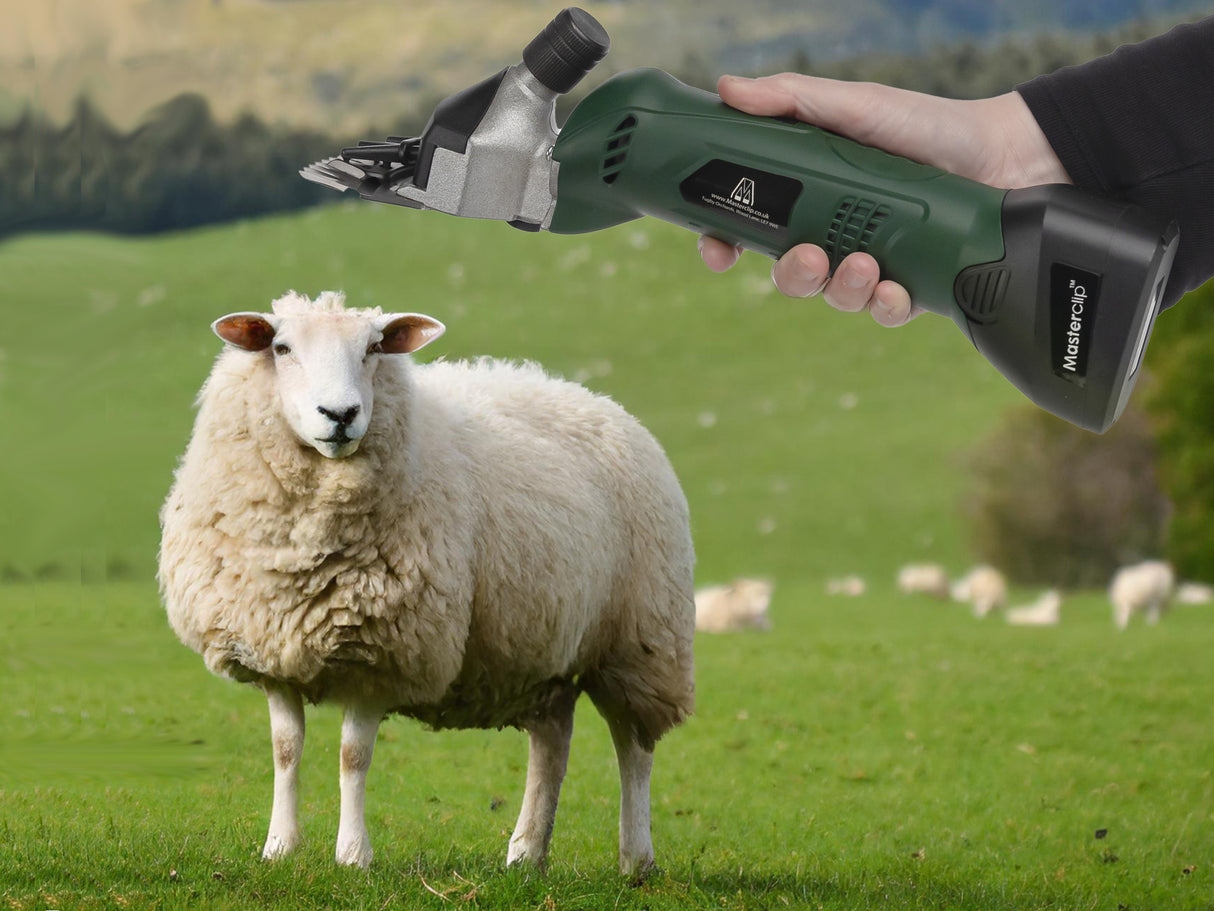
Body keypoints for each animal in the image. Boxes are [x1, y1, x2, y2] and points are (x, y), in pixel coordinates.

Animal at [158, 290, 695, 875]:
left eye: (374, 348)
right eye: (281, 348)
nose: (340, 415)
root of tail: (592, 398)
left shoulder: (379, 651)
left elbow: (353, 756)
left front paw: (353, 856)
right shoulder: (271, 647)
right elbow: (285, 749)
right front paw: (279, 848)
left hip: (641, 639)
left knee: (633, 747)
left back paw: (635, 858)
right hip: (543, 651)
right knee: (553, 743)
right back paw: (526, 854)